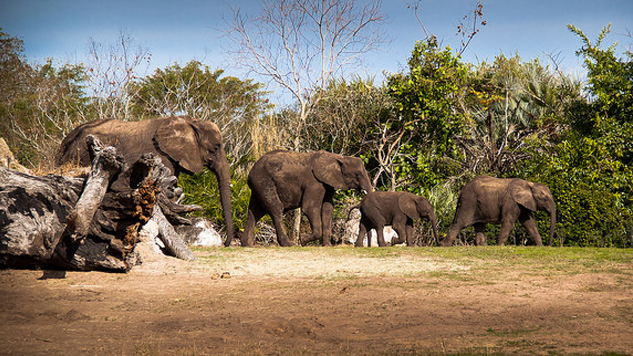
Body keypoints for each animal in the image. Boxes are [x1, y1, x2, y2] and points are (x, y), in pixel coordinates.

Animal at [235, 149, 376, 246]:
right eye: (357, 174)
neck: (337, 157)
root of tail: (250, 171)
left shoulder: (327, 183)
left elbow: (328, 209)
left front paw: (327, 246)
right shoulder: (314, 183)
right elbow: (310, 208)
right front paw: (302, 240)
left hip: (258, 186)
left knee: (254, 212)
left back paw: (246, 244)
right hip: (264, 182)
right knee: (276, 209)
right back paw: (289, 245)